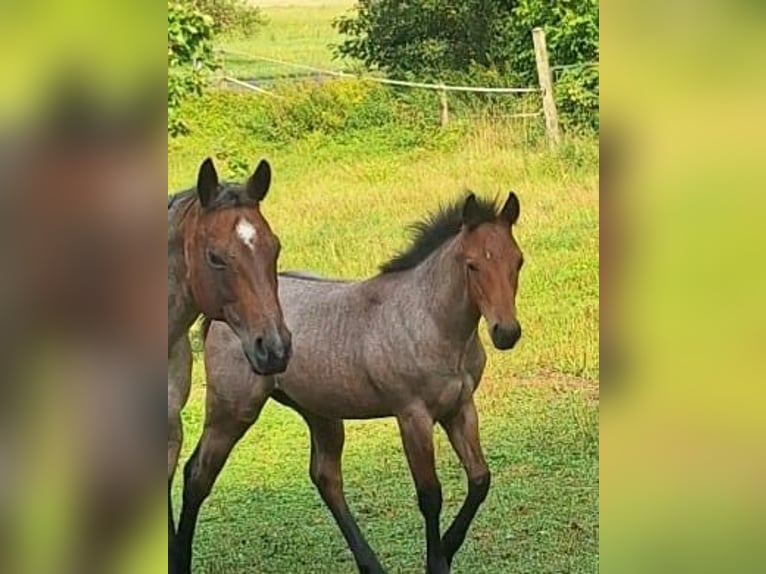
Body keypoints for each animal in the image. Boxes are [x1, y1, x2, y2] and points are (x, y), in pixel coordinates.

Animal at [177, 192, 524, 573]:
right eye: (472, 265)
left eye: (518, 261)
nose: (506, 332)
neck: (430, 321)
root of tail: (220, 315)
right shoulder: (412, 415)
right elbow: (430, 494)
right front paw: (436, 561)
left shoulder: (460, 408)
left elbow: (480, 479)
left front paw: (446, 549)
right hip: (233, 410)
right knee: (197, 474)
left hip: (320, 412)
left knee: (326, 478)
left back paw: (371, 564)